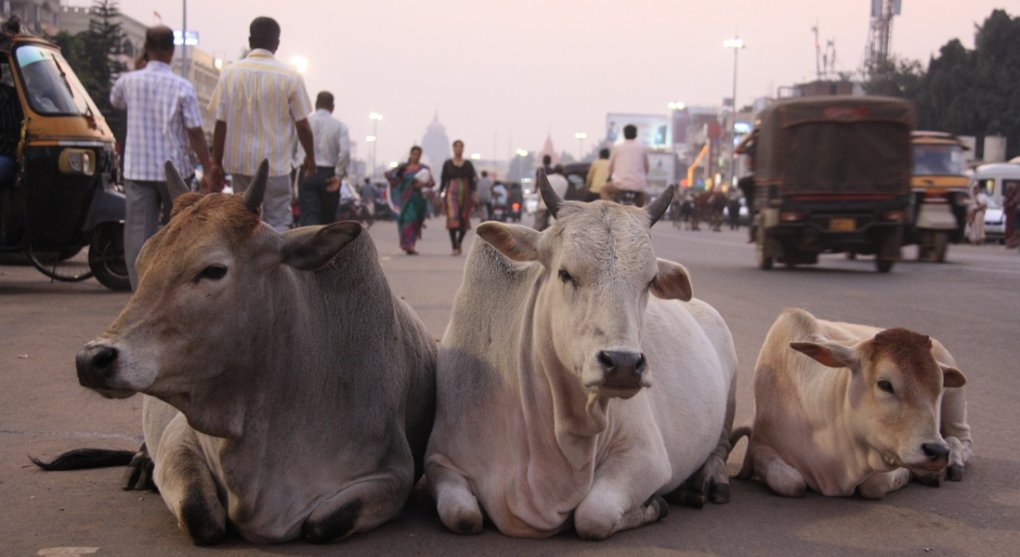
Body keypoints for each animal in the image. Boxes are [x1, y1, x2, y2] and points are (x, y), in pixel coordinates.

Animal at [61, 160, 434, 542]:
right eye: (141, 263)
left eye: (214, 270)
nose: (92, 359)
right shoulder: (181, 439)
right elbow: (200, 516)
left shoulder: (393, 475)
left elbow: (322, 524)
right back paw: (139, 464)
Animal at [426, 172, 738, 538]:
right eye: (565, 273)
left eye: (649, 281)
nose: (623, 364)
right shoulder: (440, 460)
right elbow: (463, 516)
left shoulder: (647, 457)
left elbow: (593, 516)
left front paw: (655, 505)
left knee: (720, 447)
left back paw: (709, 480)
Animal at [738, 308, 966, 497]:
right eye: (885, 384)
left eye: (939, 387)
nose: (937, 451)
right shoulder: (761, 446)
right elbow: (792, 482)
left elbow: (874, 486)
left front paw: (909, 474)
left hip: (955, 402)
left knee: (960, 438)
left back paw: (953, 463)